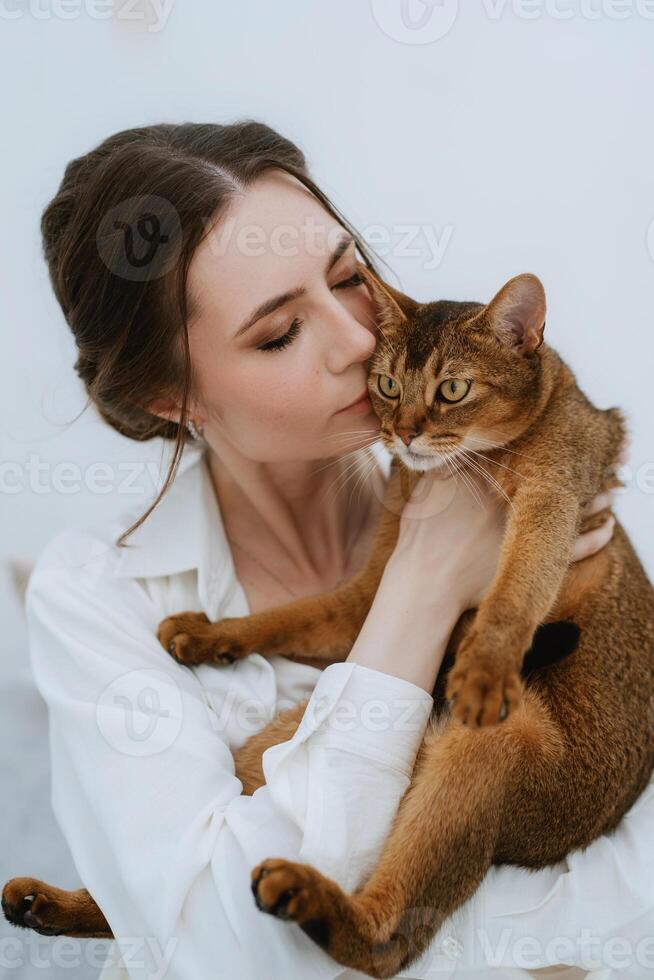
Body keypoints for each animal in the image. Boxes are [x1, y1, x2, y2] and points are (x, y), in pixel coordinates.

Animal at [5, 268, 654, 980]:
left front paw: (485, 671)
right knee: (164, 902)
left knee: (391, 943)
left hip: (501, 752)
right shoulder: (372, 591)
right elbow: (295, 613)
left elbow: (515, 592)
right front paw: (208, 633)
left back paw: (307, 896)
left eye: (453, 390)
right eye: (388, 385)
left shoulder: (554, 499)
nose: (404, 434)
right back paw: (44, 903)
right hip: (284, 734)